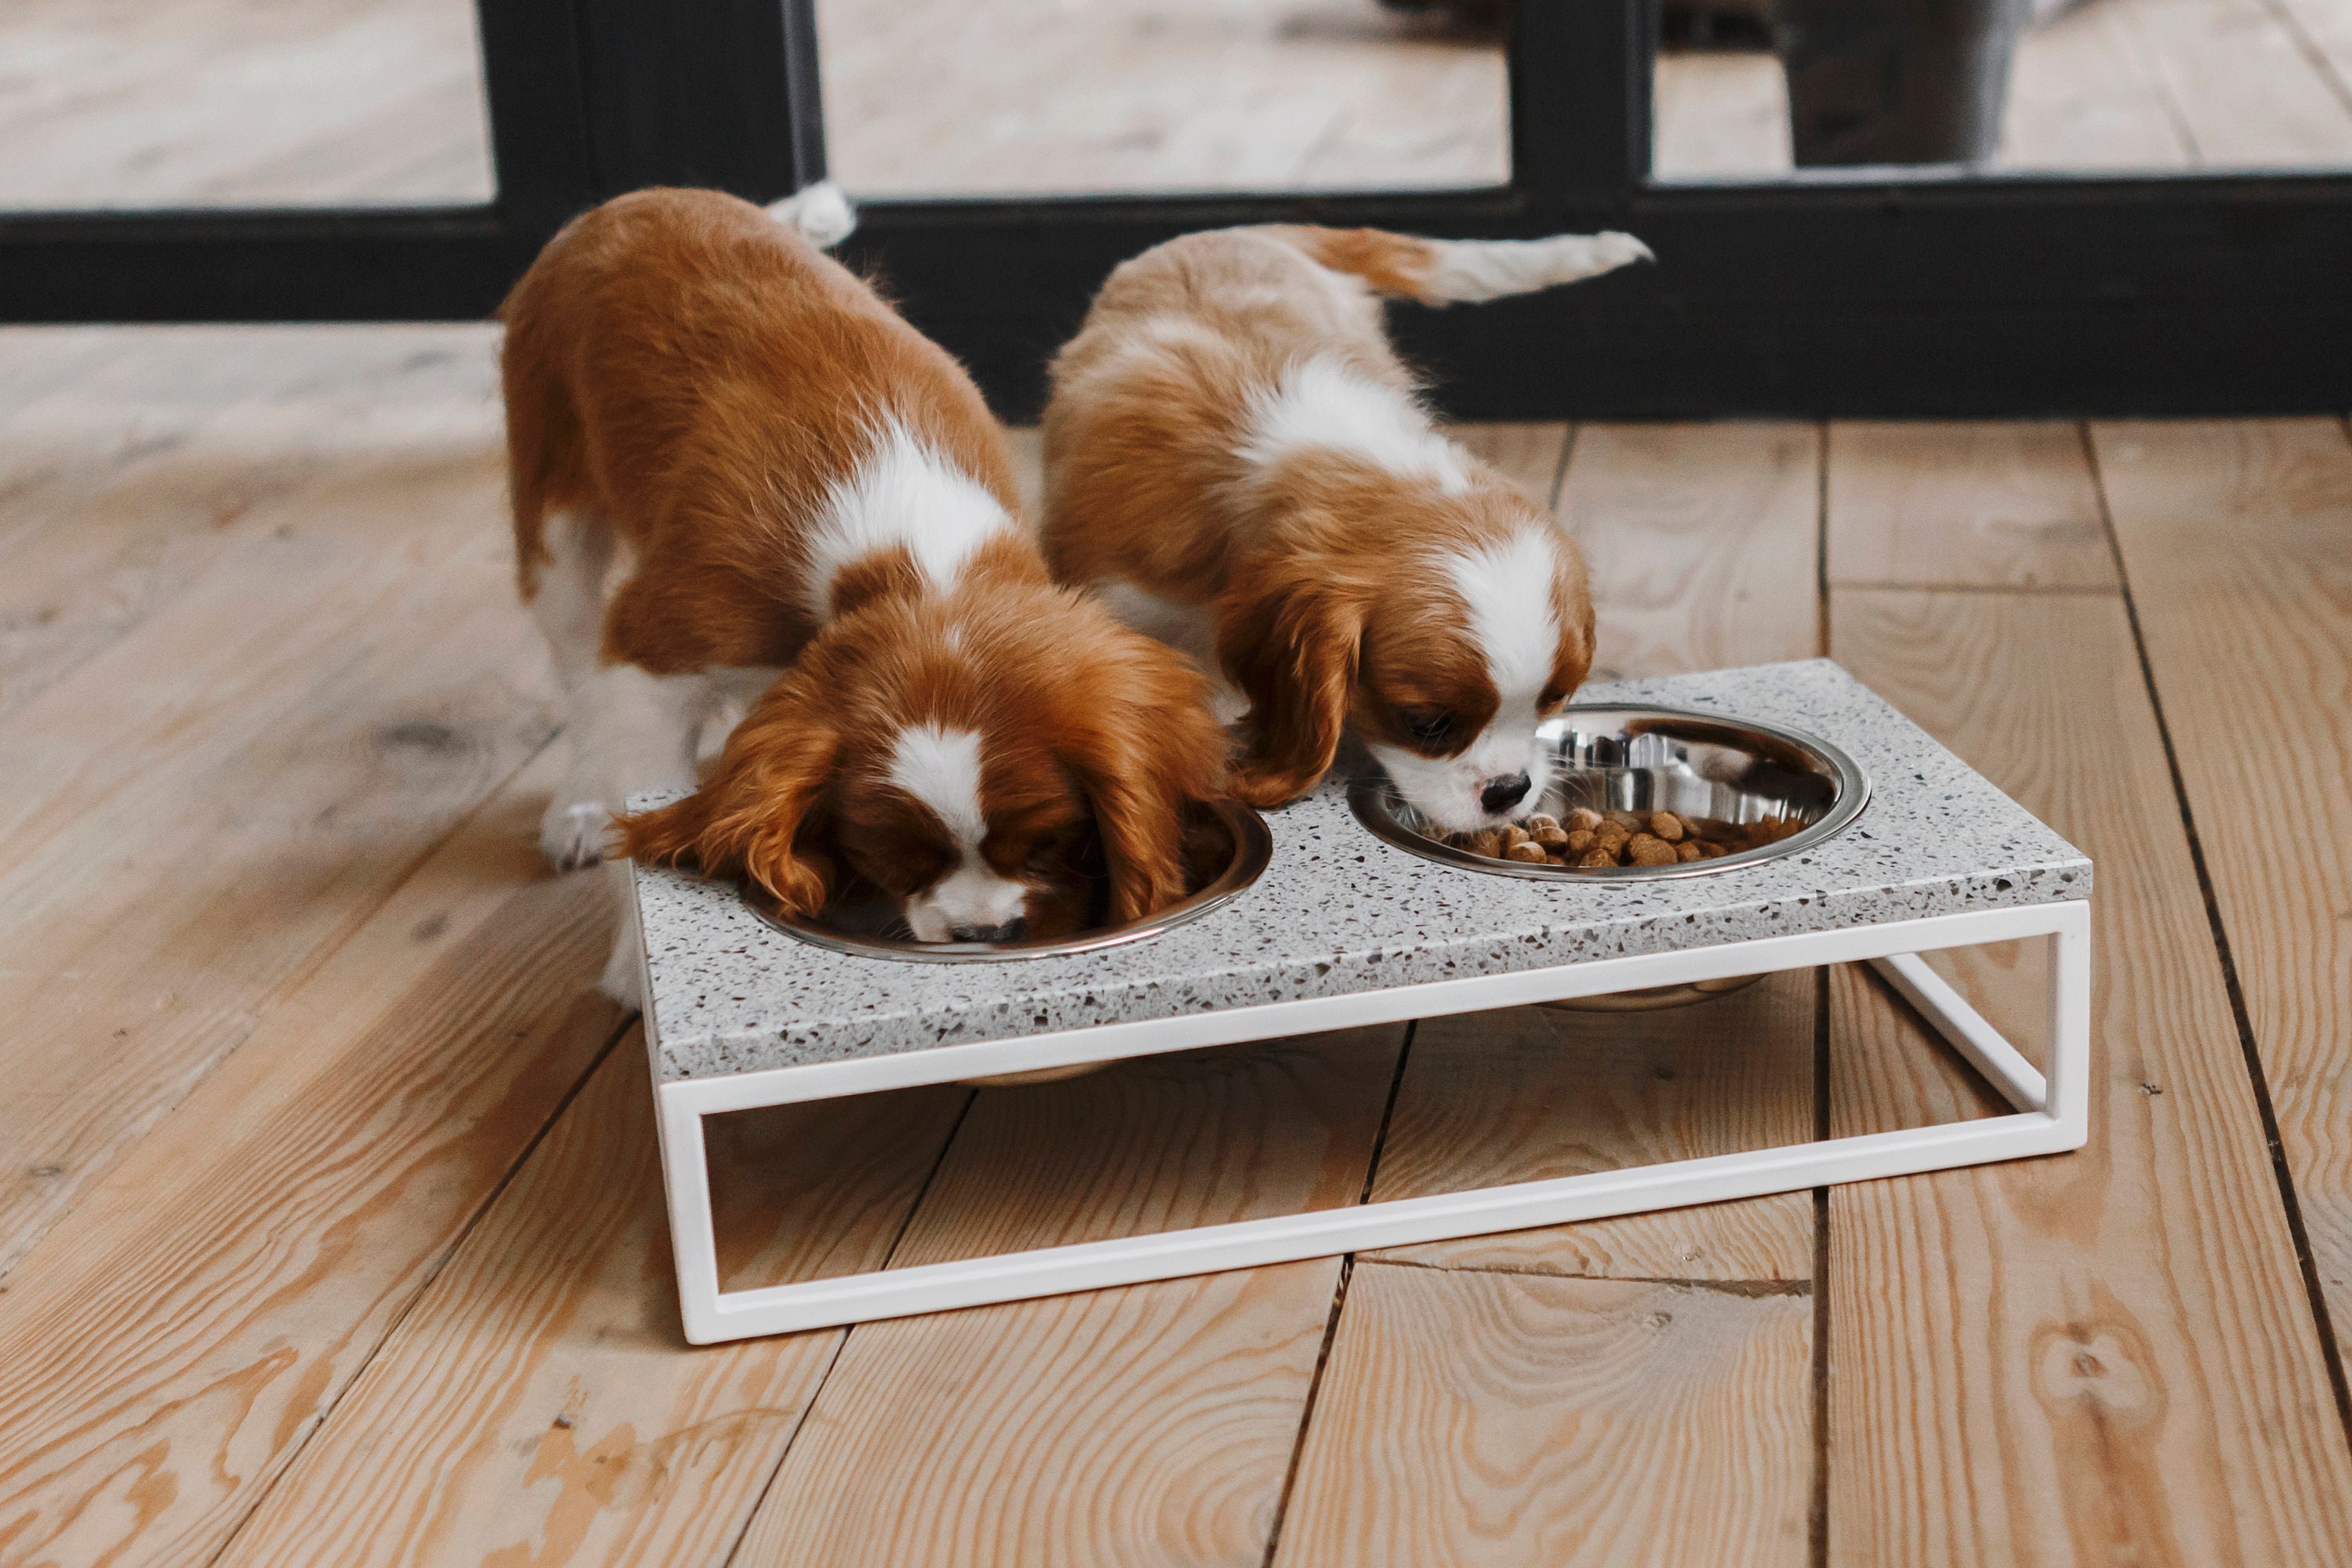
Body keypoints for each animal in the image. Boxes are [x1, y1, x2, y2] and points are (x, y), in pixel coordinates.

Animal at [503, 184, 1223, 992]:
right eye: (892, 856)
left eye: (1049, 841)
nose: (986, 933)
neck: (912, 567)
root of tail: (638, 199)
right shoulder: (656, 657)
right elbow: (639, 777)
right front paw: (635, 964)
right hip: (557, 515)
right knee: (574, 665)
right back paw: (578, 808)